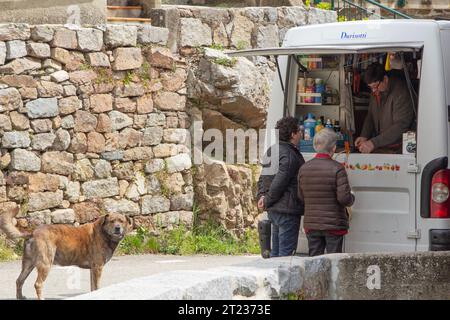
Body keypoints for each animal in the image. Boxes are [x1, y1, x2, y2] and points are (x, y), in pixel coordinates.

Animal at [0, 205, 133, 300]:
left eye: (121, 221)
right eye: (112, 221)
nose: (117, 228)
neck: (104, 233)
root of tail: (32, 232)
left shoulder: (93, 269)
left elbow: (92, 287)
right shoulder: (98, 267)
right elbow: (97, 287)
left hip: (28, 264)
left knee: (19, 280)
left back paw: (20, 297)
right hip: (45, 264)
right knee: (38, 284)